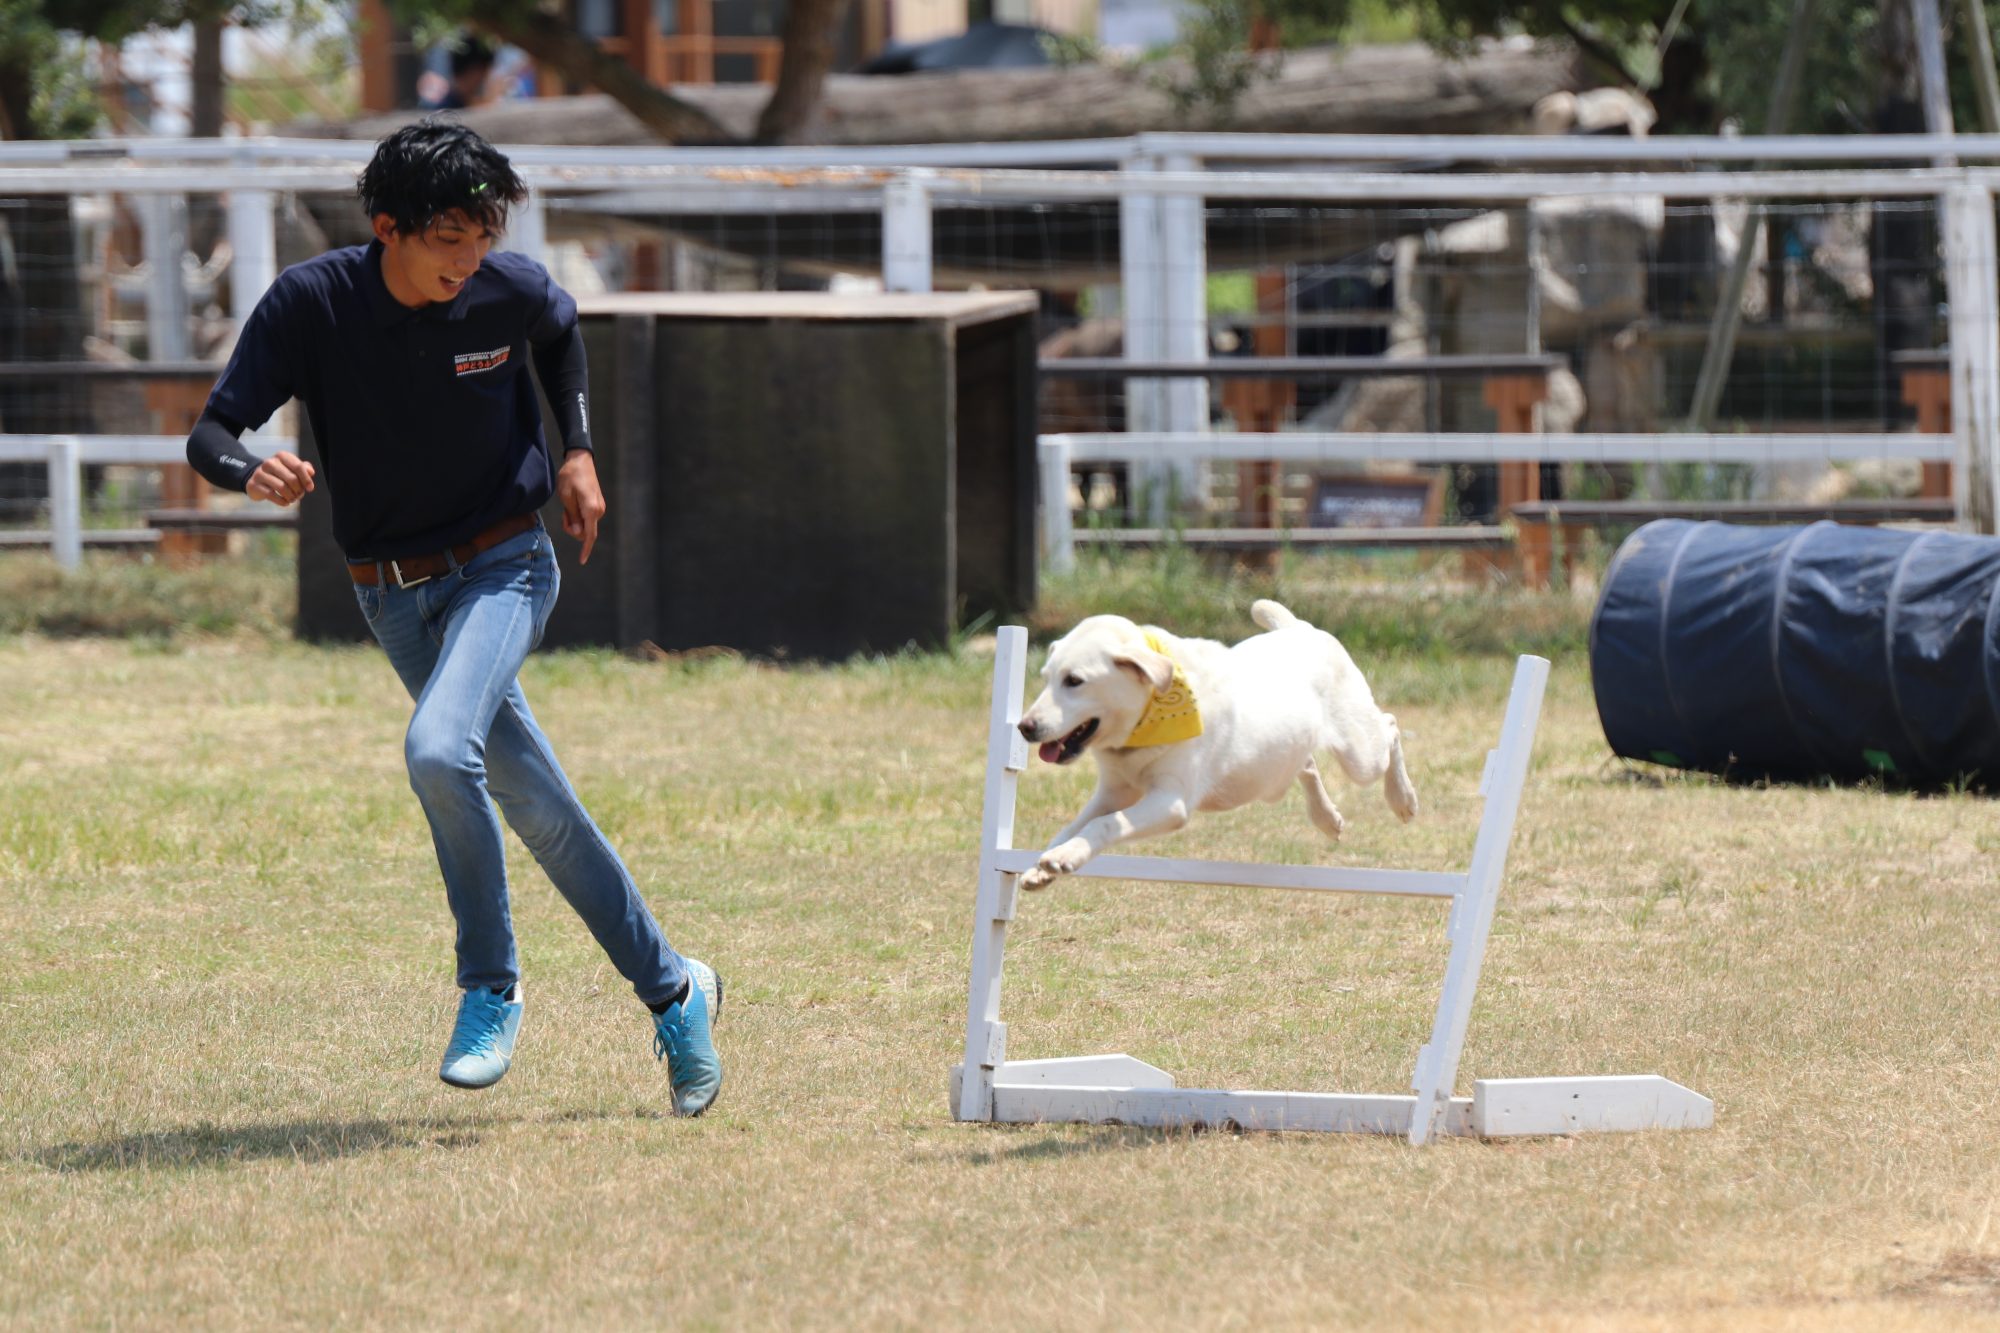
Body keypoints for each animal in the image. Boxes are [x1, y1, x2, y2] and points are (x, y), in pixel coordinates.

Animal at [1016, 596, 1424, 888]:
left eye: (1075, 681)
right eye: (1046, 678)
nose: (1024, 727)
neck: (1145, 720)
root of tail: (1301, 627)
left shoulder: (1171, 801)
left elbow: (1103, 825)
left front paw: (1062, 858)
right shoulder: (1114, 791)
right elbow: (1074, 826)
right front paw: (1044, 866)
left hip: (1359, 754)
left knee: (1390, 727)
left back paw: (1403, 800)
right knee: (1307, 764)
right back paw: (1327, 819)